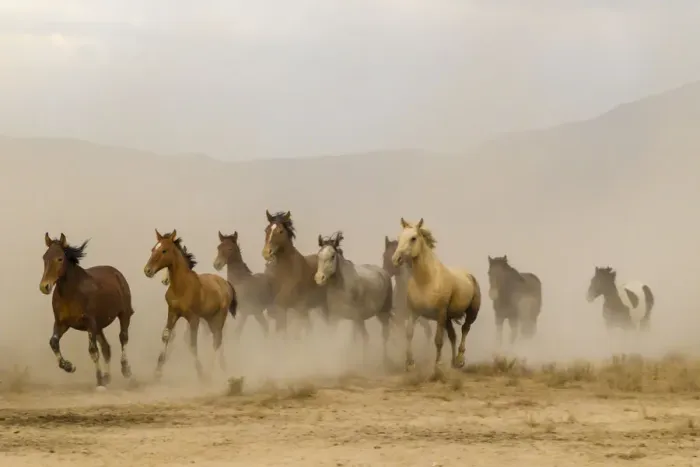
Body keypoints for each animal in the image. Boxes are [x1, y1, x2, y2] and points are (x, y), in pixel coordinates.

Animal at [39, 233, 134, 389]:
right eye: (44, 257)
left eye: (60, 258)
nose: (44, 287)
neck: (72, 293)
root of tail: (116, 273)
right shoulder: (62, 323)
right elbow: (53, 342)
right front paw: (69, 367)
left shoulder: (90, 323)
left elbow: (93, 351)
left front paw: (99, 382)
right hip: (100, 325)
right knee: (106, 348)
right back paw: (108, 377)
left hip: (123, 313)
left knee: (123, 337)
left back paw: (126, 370)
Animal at [143, 229, 237, 380]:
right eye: (153, 249)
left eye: (164, 250)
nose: (147, 270)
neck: (181, 287)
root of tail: (226, 283)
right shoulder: (172, 312)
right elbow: (166, 336)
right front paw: (157, 371)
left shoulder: (194, 318)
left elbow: (192, 344)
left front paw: (201, 372)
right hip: (209, 318)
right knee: (217, 338)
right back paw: (223, 367)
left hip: (220, 316)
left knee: (217, 340)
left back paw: (211, 371)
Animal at [315, 232, 393, 364]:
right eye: (318, 256)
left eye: (332, 256)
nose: (319, 278)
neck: (341, 287)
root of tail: (384, 273)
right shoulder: (335, 317)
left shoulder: (358, 317)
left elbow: (365, 338)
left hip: (383, 313)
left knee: (385, 335)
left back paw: (385, 360)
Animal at [391, 218, 481, 377]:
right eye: (399, 237)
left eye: (413, 238)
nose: (396, 259)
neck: (427, 281)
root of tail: (469, 275)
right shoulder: (414, 313)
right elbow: (409, 334)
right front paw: (410, 364)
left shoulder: (440, 313)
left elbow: (438, 339)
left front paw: (438, 365)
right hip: (448, 318)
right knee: (453, 336)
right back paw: (453, 363)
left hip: (470, 313)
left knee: (465, 330)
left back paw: (459, 359)